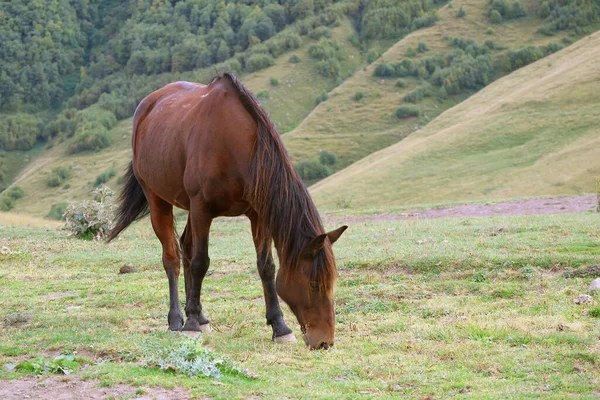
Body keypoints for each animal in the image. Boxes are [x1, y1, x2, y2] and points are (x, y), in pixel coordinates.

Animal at [105, 73, 344, 348]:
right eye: (314, 284)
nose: (325, 342)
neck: (234, 144)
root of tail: (146, 107)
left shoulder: (258, 215)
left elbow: (266, 266)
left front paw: (280, 327)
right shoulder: (202, 208)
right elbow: (200, 263)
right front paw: (190, 325)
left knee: (186, 248)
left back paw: (200, 316)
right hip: (159, 200)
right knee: (172, 258)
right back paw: (177, 319)